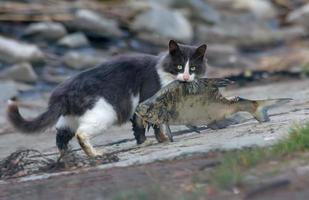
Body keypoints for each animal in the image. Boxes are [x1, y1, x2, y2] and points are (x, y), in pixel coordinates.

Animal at [7, 39, 208, 157]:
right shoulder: (145, 101)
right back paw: (95, 153)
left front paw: (157, 140)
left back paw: (67, 157)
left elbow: (153, 126)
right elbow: (148, 126)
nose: (186, 77)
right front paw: (154, 141)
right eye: (179, 66)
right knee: (81, 134)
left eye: (193, 68)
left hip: (69, 119)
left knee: (61, 136)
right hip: (104, 113)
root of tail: (63, 92)